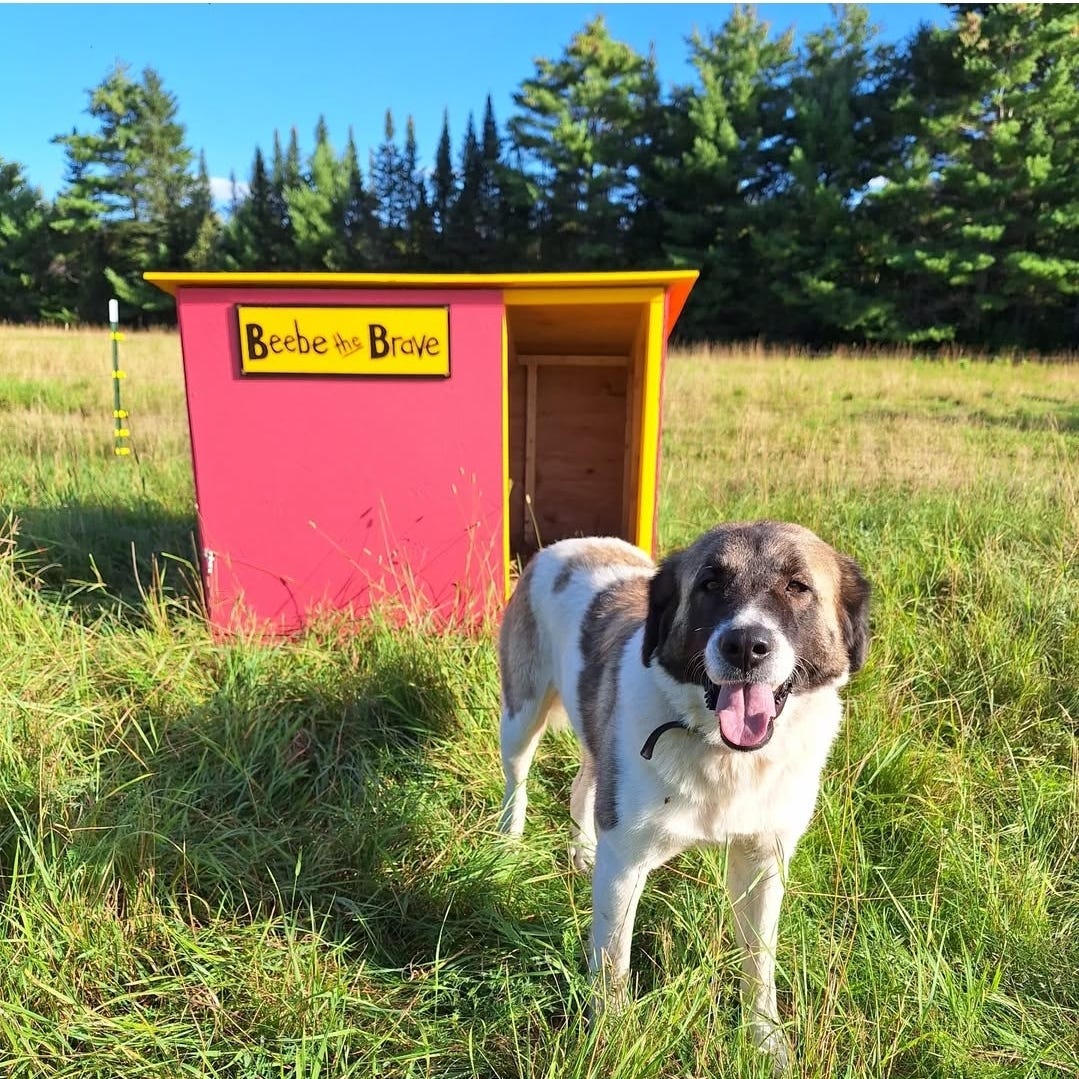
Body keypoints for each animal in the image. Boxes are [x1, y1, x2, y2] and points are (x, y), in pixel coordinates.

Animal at [496, 522, 867, 1070]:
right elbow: (613, 961)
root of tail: (564, 546)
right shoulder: (624, 863)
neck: (725, 754)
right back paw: (508, 842)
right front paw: (612, 1036)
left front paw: (765, 1040)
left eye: (798, 586)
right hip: (521, 717)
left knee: (584, 781)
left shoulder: (764, 860)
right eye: (710, 584)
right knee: (518, 781)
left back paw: (581, 849)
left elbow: (759, 962)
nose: (744, 646)